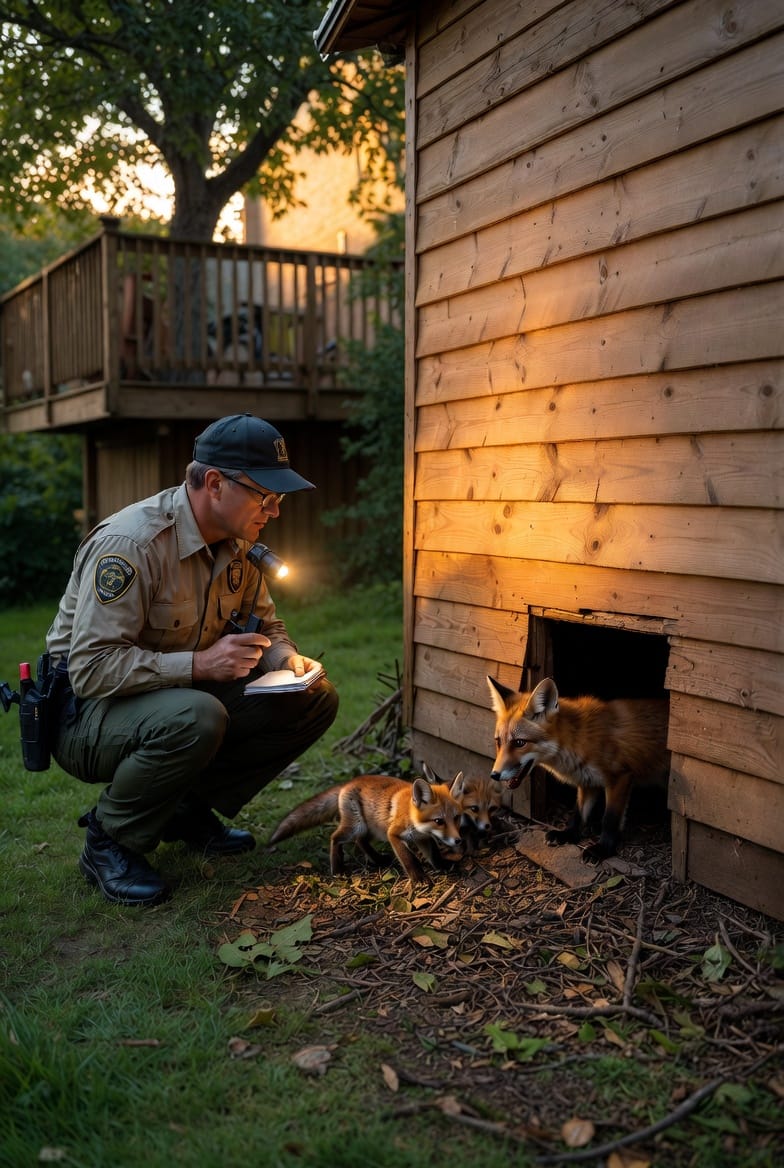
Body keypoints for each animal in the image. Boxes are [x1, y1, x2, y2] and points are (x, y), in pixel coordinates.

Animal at [267, 765, 463, 893]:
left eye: (456, 818)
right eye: (439, 821)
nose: (458, 841)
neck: (412, 815)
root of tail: (348, 782)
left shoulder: (422, 837)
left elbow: (434, 855)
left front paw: (443, 866)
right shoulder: (394, 834)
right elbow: (409, 859)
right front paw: (419, 878)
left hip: (372, 830)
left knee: (360, 841)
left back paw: (378, 859)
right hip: (357, 827)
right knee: (335, 837)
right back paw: (338, 869)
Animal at [487, 675, 670, 863]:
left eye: (519, 743)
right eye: (498, 741)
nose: (494, 775)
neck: (578, 739)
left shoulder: (620, 777)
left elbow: (609, 819)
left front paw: (602, 849)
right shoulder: (587, 780)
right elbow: (579, 813)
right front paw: (568, 835)